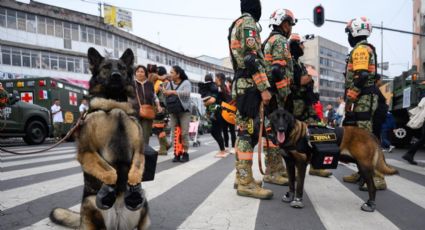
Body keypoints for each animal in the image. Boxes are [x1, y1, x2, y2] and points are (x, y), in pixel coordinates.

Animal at [50, 47, 150, 229]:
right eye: (106, 67)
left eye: (122, 68)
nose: (116, 75)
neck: (115, 103)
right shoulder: (86, 152)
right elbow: (110, 171)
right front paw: (108, 189)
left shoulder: (139, 151)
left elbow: (136, 168)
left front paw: (133, 185)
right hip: (89, 204)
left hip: (144, 206)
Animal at [268, 108, 398, 212]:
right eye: (275, 118)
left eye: (286, 119)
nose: (281, 129)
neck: (294, 133)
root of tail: (371, 135)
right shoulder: (289, 163)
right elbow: (291, 182)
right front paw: (290, 196)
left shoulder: (301, 164)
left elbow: (299, 185)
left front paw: (297, 201)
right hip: (362, 166)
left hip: (364, 166)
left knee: (372, 187)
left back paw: (370, 204)